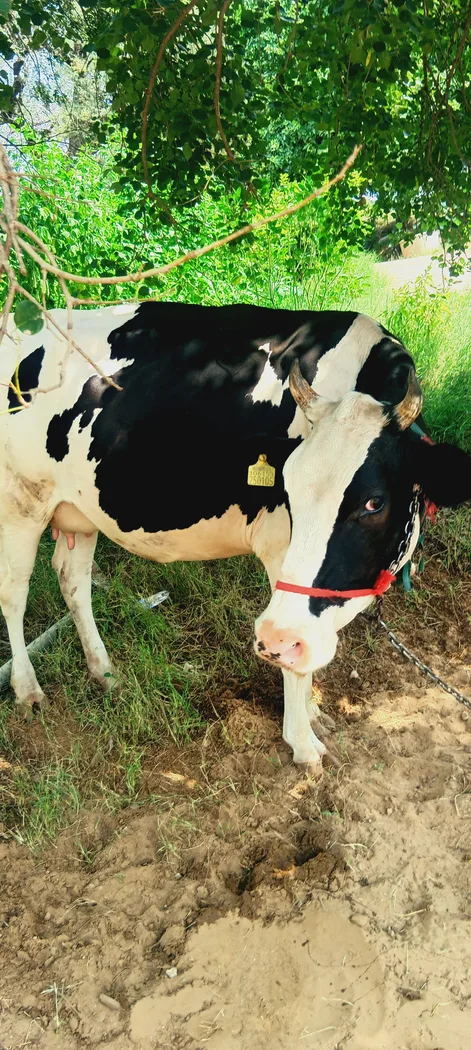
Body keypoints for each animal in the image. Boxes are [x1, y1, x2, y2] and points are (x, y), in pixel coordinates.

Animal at [1, 301, 470, 772]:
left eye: (375, 502)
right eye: (287, 488)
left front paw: (311, 709)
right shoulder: (281, 554)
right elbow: (293, 654)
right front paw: (303, 741)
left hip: (79, 511)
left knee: (72, 579)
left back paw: (104, 672)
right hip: (20, 502)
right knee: (14, 594)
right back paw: (28, 690)